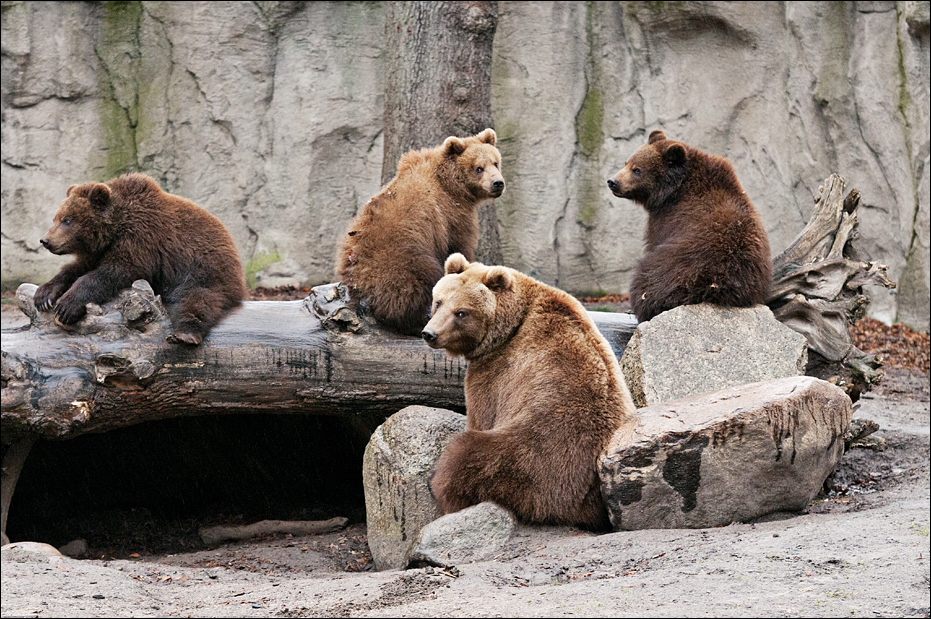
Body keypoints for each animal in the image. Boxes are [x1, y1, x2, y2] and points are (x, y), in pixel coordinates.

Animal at [35, 173, 246, 345]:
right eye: (56, 218)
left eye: (67, 220)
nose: (45, 240)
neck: (113, 230)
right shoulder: (98, 251)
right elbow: (75, 268)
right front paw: (44, 295)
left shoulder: (141, 237)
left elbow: (114, 271)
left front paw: (66, 306)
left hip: (205, 266)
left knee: (200, 297)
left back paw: (185, 333)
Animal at [336, 129, 504, 336]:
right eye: (478, 168)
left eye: (495, 162)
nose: (498, 183)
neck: (451, 184)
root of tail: (359, 283)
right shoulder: (451, 215)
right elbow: (458, 246)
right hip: (401, 258)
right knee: (413, 286)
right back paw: (414, 322)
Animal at [421, 253, 636, 531]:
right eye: (438, 301)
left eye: (461, 312)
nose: (430, 334)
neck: (509, 327)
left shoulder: (496, 372)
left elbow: (481, 415)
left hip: (533, 457)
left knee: (467, 458)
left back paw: (439, 484)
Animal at [607, 130, 772, 323]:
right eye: (627, 162)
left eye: (637, 169)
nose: (612, 181)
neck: (673, 191)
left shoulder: (667, 219)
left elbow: (653, 241)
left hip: (679, 267)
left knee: (645, 281)